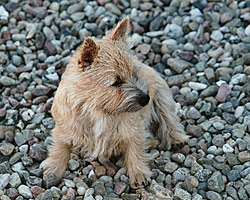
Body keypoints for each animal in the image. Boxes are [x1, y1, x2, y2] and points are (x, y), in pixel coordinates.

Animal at [43, 16, 188, 188]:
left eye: (134, 74)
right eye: (116, 82)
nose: (145, 99)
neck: (97, 109)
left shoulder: (134, 129)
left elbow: (135, 149)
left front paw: (138, 174)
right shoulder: (64, 128)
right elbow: (60, 147)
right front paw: (53, 169)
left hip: (162, 97)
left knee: (168, 119)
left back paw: (175, 138)